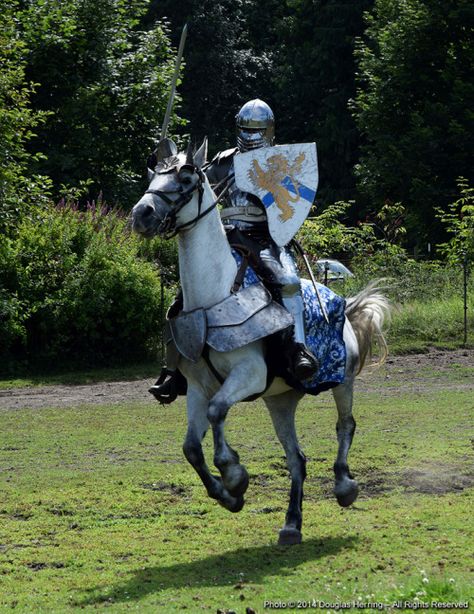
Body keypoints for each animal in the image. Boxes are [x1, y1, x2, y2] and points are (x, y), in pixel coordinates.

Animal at [131, 142, 390, 548]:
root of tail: (343, 305)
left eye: (185, 178)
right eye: (152, 175)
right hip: (280, 400)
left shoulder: (247, 375)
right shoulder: (199, 388)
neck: (215, 292)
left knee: (345, 425)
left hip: (343, 380)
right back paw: (291, 524)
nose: (141, 214)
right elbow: (191, 447)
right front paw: (228, 496)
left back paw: (344, 485)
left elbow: (218, 412)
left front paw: (235, 475)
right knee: (296, 459)